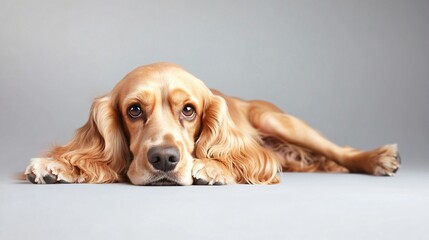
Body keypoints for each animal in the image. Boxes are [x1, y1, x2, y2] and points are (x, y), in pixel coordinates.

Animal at [25, 62, 402, 186]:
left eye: (189, 110)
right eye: (134, 110)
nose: (164, 159)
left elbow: (239, 160)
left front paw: (212, 168)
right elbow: (90, 159)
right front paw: (56, 165)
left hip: (275, 119)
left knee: (340, 150)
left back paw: (377, 158)